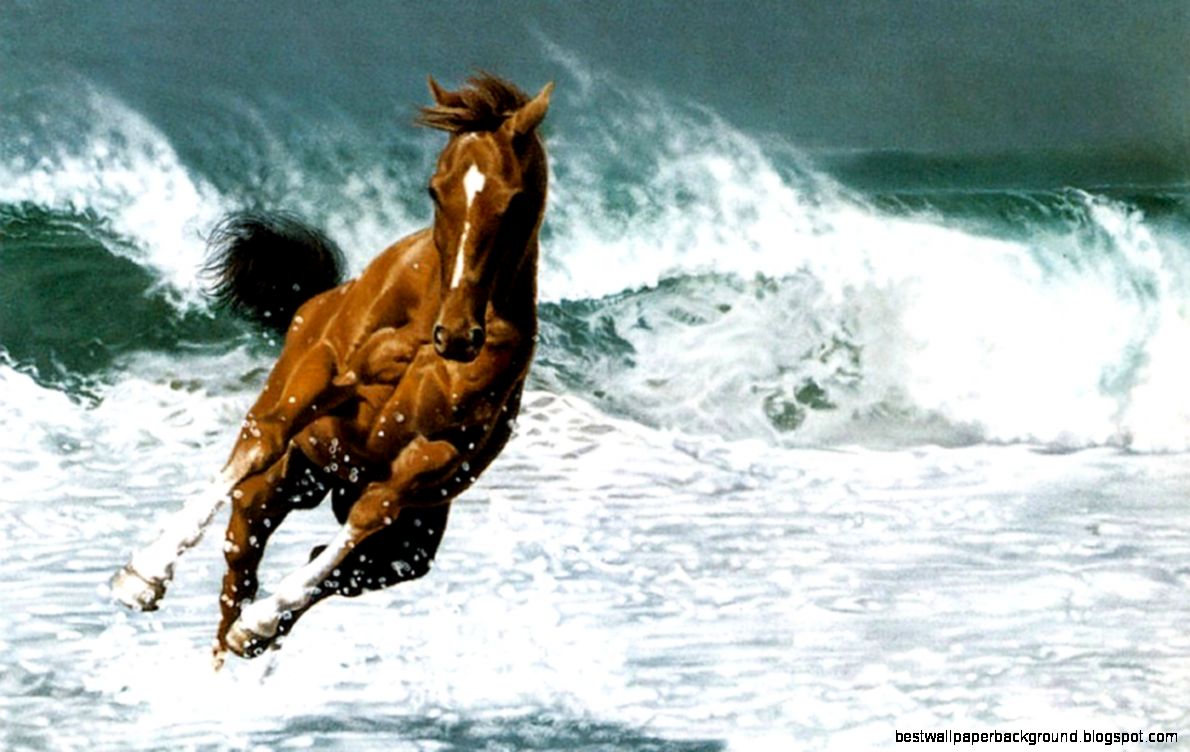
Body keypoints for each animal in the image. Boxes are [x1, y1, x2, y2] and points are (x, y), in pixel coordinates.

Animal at [111, 74, 553, 666]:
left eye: (514, 201)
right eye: (436, 189)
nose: (457, 337)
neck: (428, 311)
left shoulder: (435, 453)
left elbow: (368, 518)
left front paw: (260, 624)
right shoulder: (326, 372)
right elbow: (266, 438)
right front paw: (142, 576)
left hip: (409, 542)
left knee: (333, 565)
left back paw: (257, 632)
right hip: (280, 485)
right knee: (240, 560)